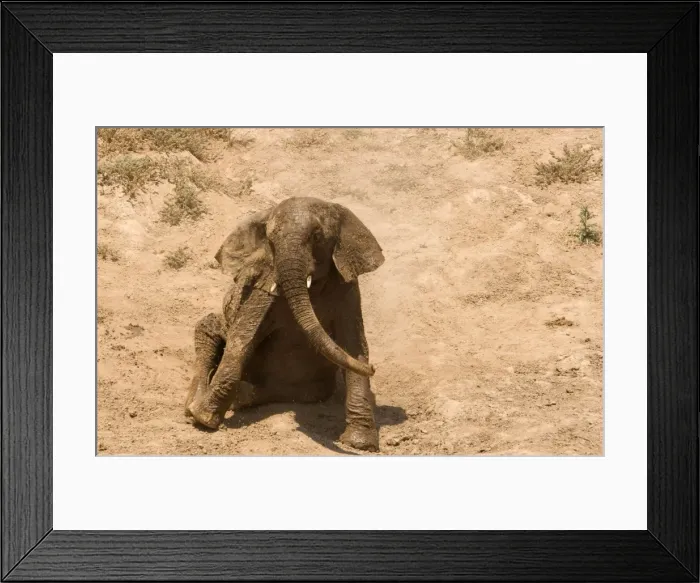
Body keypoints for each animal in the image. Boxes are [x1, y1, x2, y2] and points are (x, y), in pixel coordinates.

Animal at [184, 196, 385, 451]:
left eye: (317, 236)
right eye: (270, 241)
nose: (375, 369)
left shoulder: (347, 287)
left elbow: (353, 346)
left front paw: (360, 444)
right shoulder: (265, 281)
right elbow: (242, 338)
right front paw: (203, 420)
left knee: (307, 391)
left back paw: (240, 398)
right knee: (207, 328)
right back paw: (193, 406)